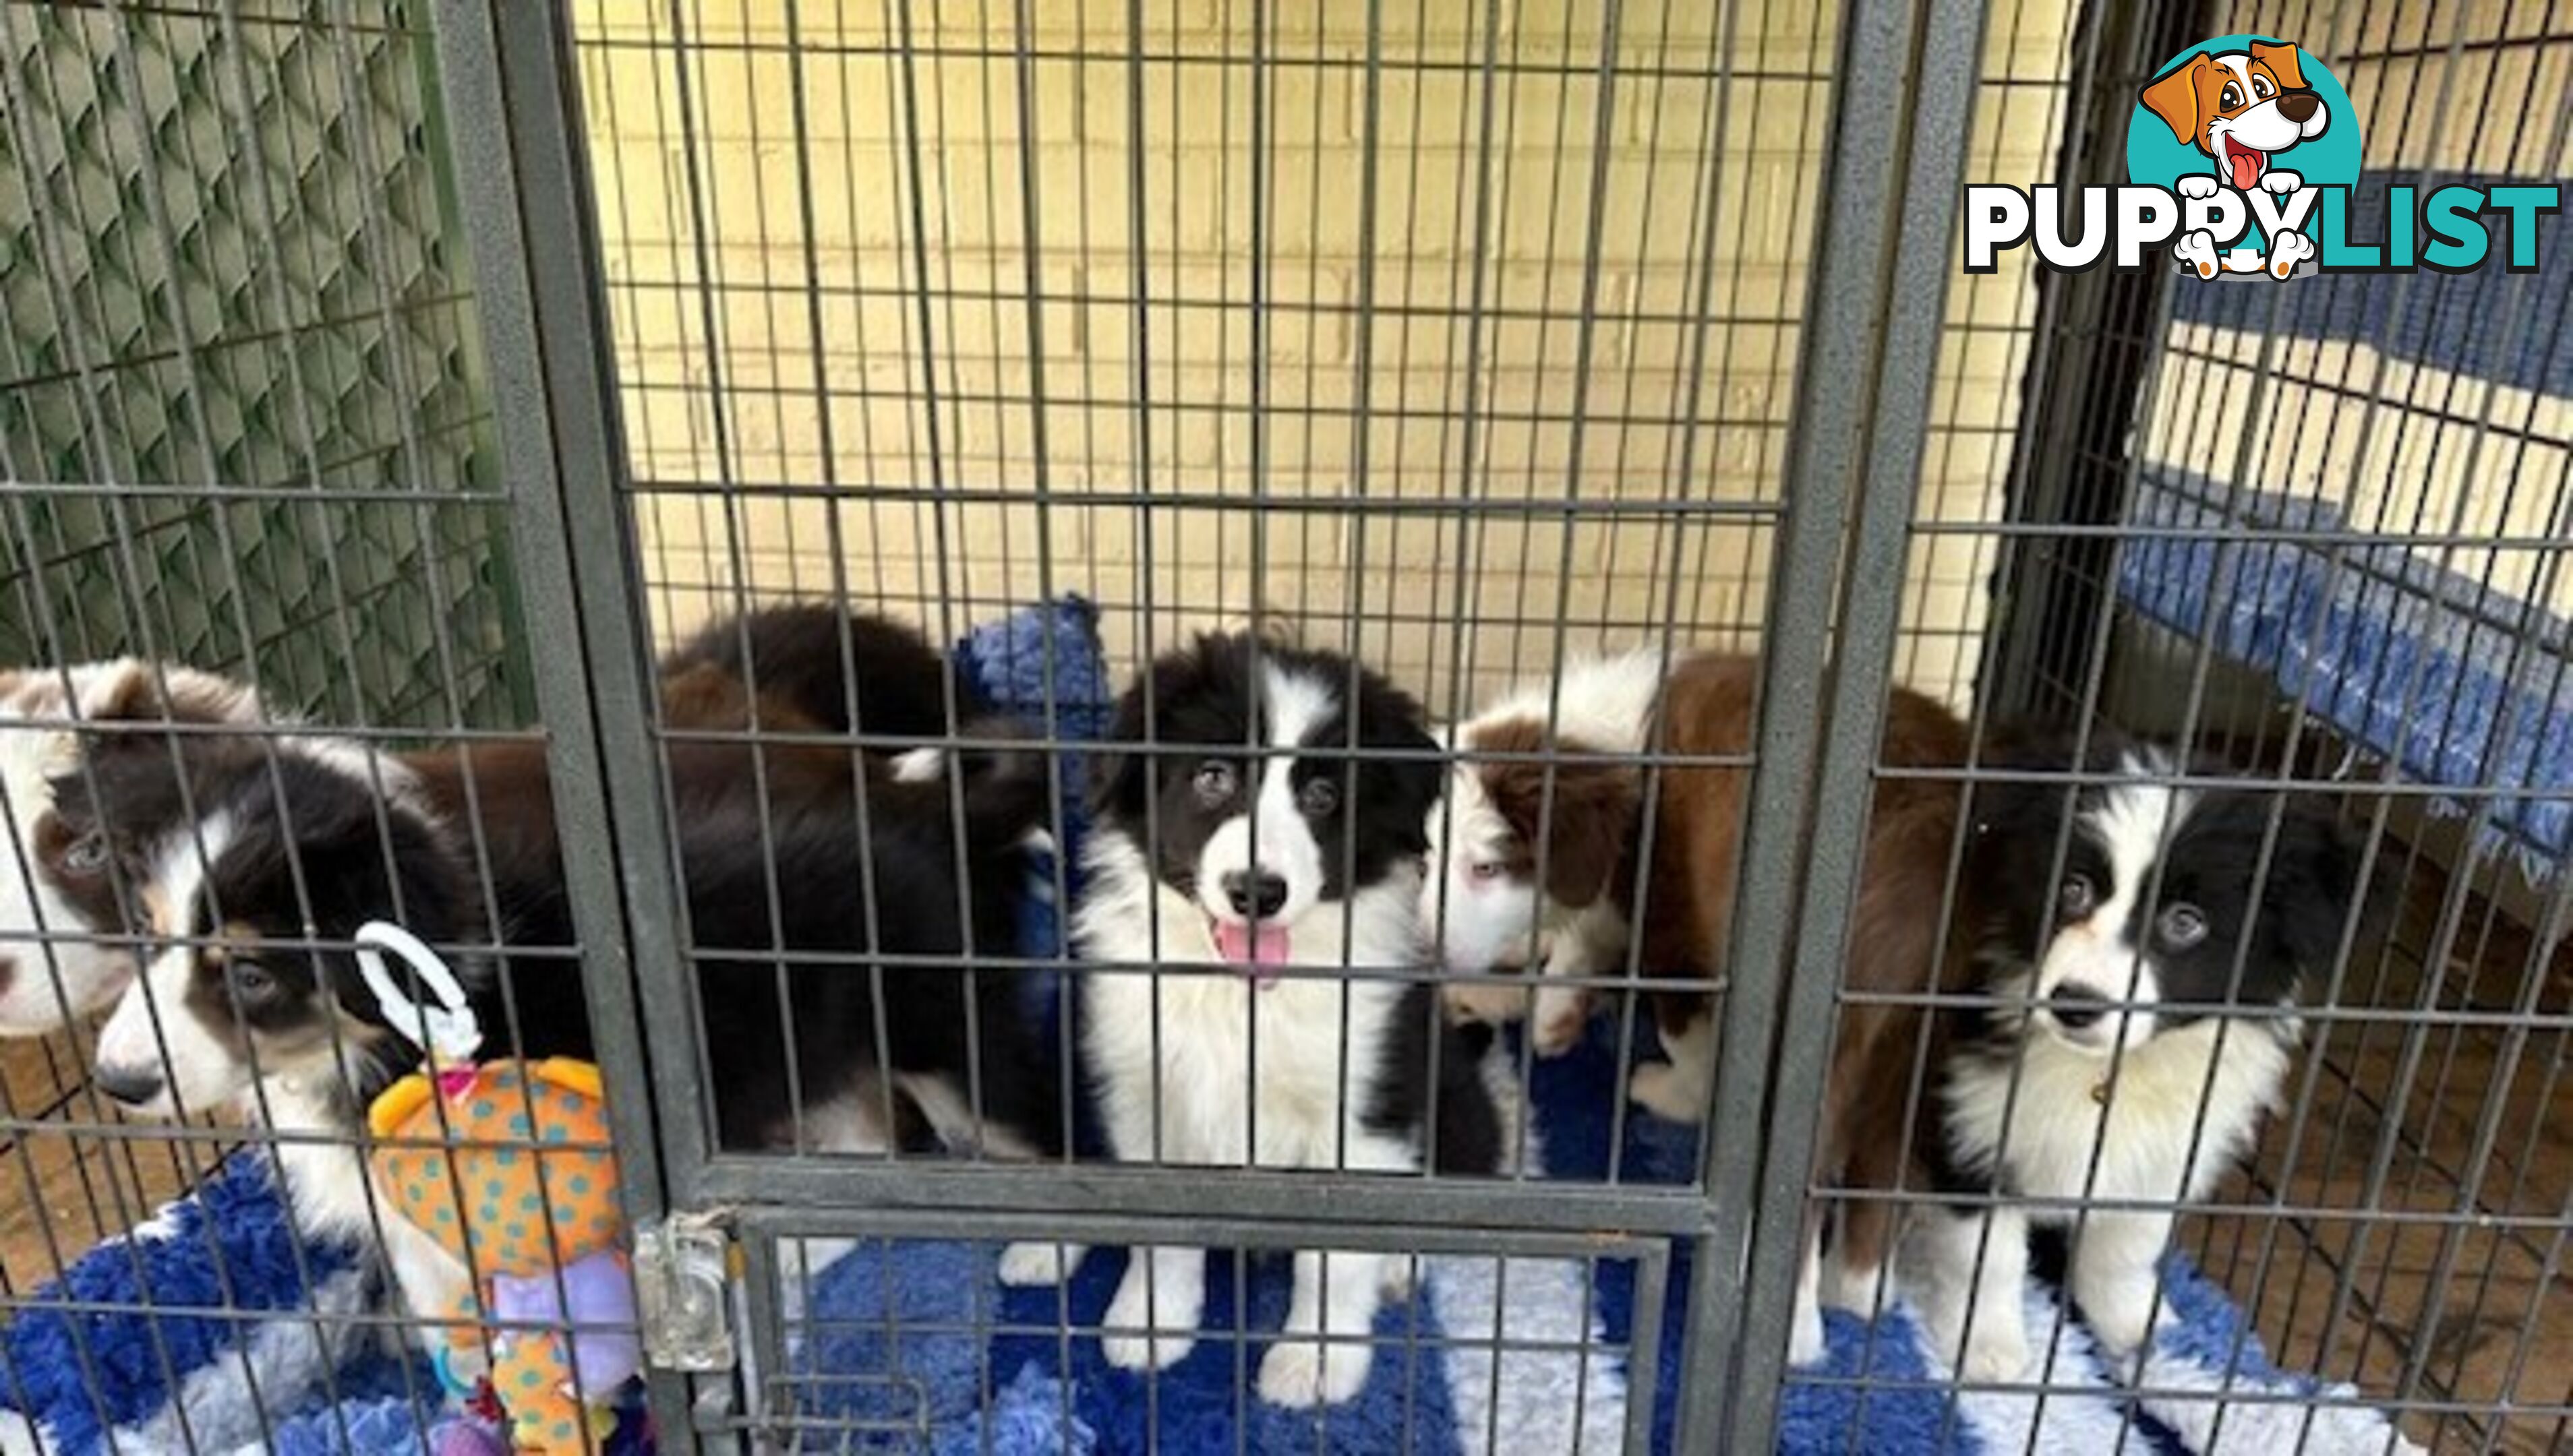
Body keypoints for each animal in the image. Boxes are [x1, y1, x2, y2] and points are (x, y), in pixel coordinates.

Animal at [993, 638, 1502, 1420]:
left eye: (1323, 796)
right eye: (1213, 778)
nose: (1256, 892)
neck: (1240, 998)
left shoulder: (1364, 1105)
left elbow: (1336, 1257)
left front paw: (1313, 1362)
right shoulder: (1148, 1087)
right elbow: (1158, 1229)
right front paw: (1151, 1321)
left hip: (1453, 1097)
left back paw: (1398, 1264)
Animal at [1903, 730, 2357, 1378]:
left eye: (2186, 922)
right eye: (2074, 888)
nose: (2075, 1004)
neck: (2111, 1069)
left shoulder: (2168, 1151)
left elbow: (2125, 1249)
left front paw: (2148, 1335)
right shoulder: (1973, 1117)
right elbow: (1986, 1255)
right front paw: (1990, 1350)